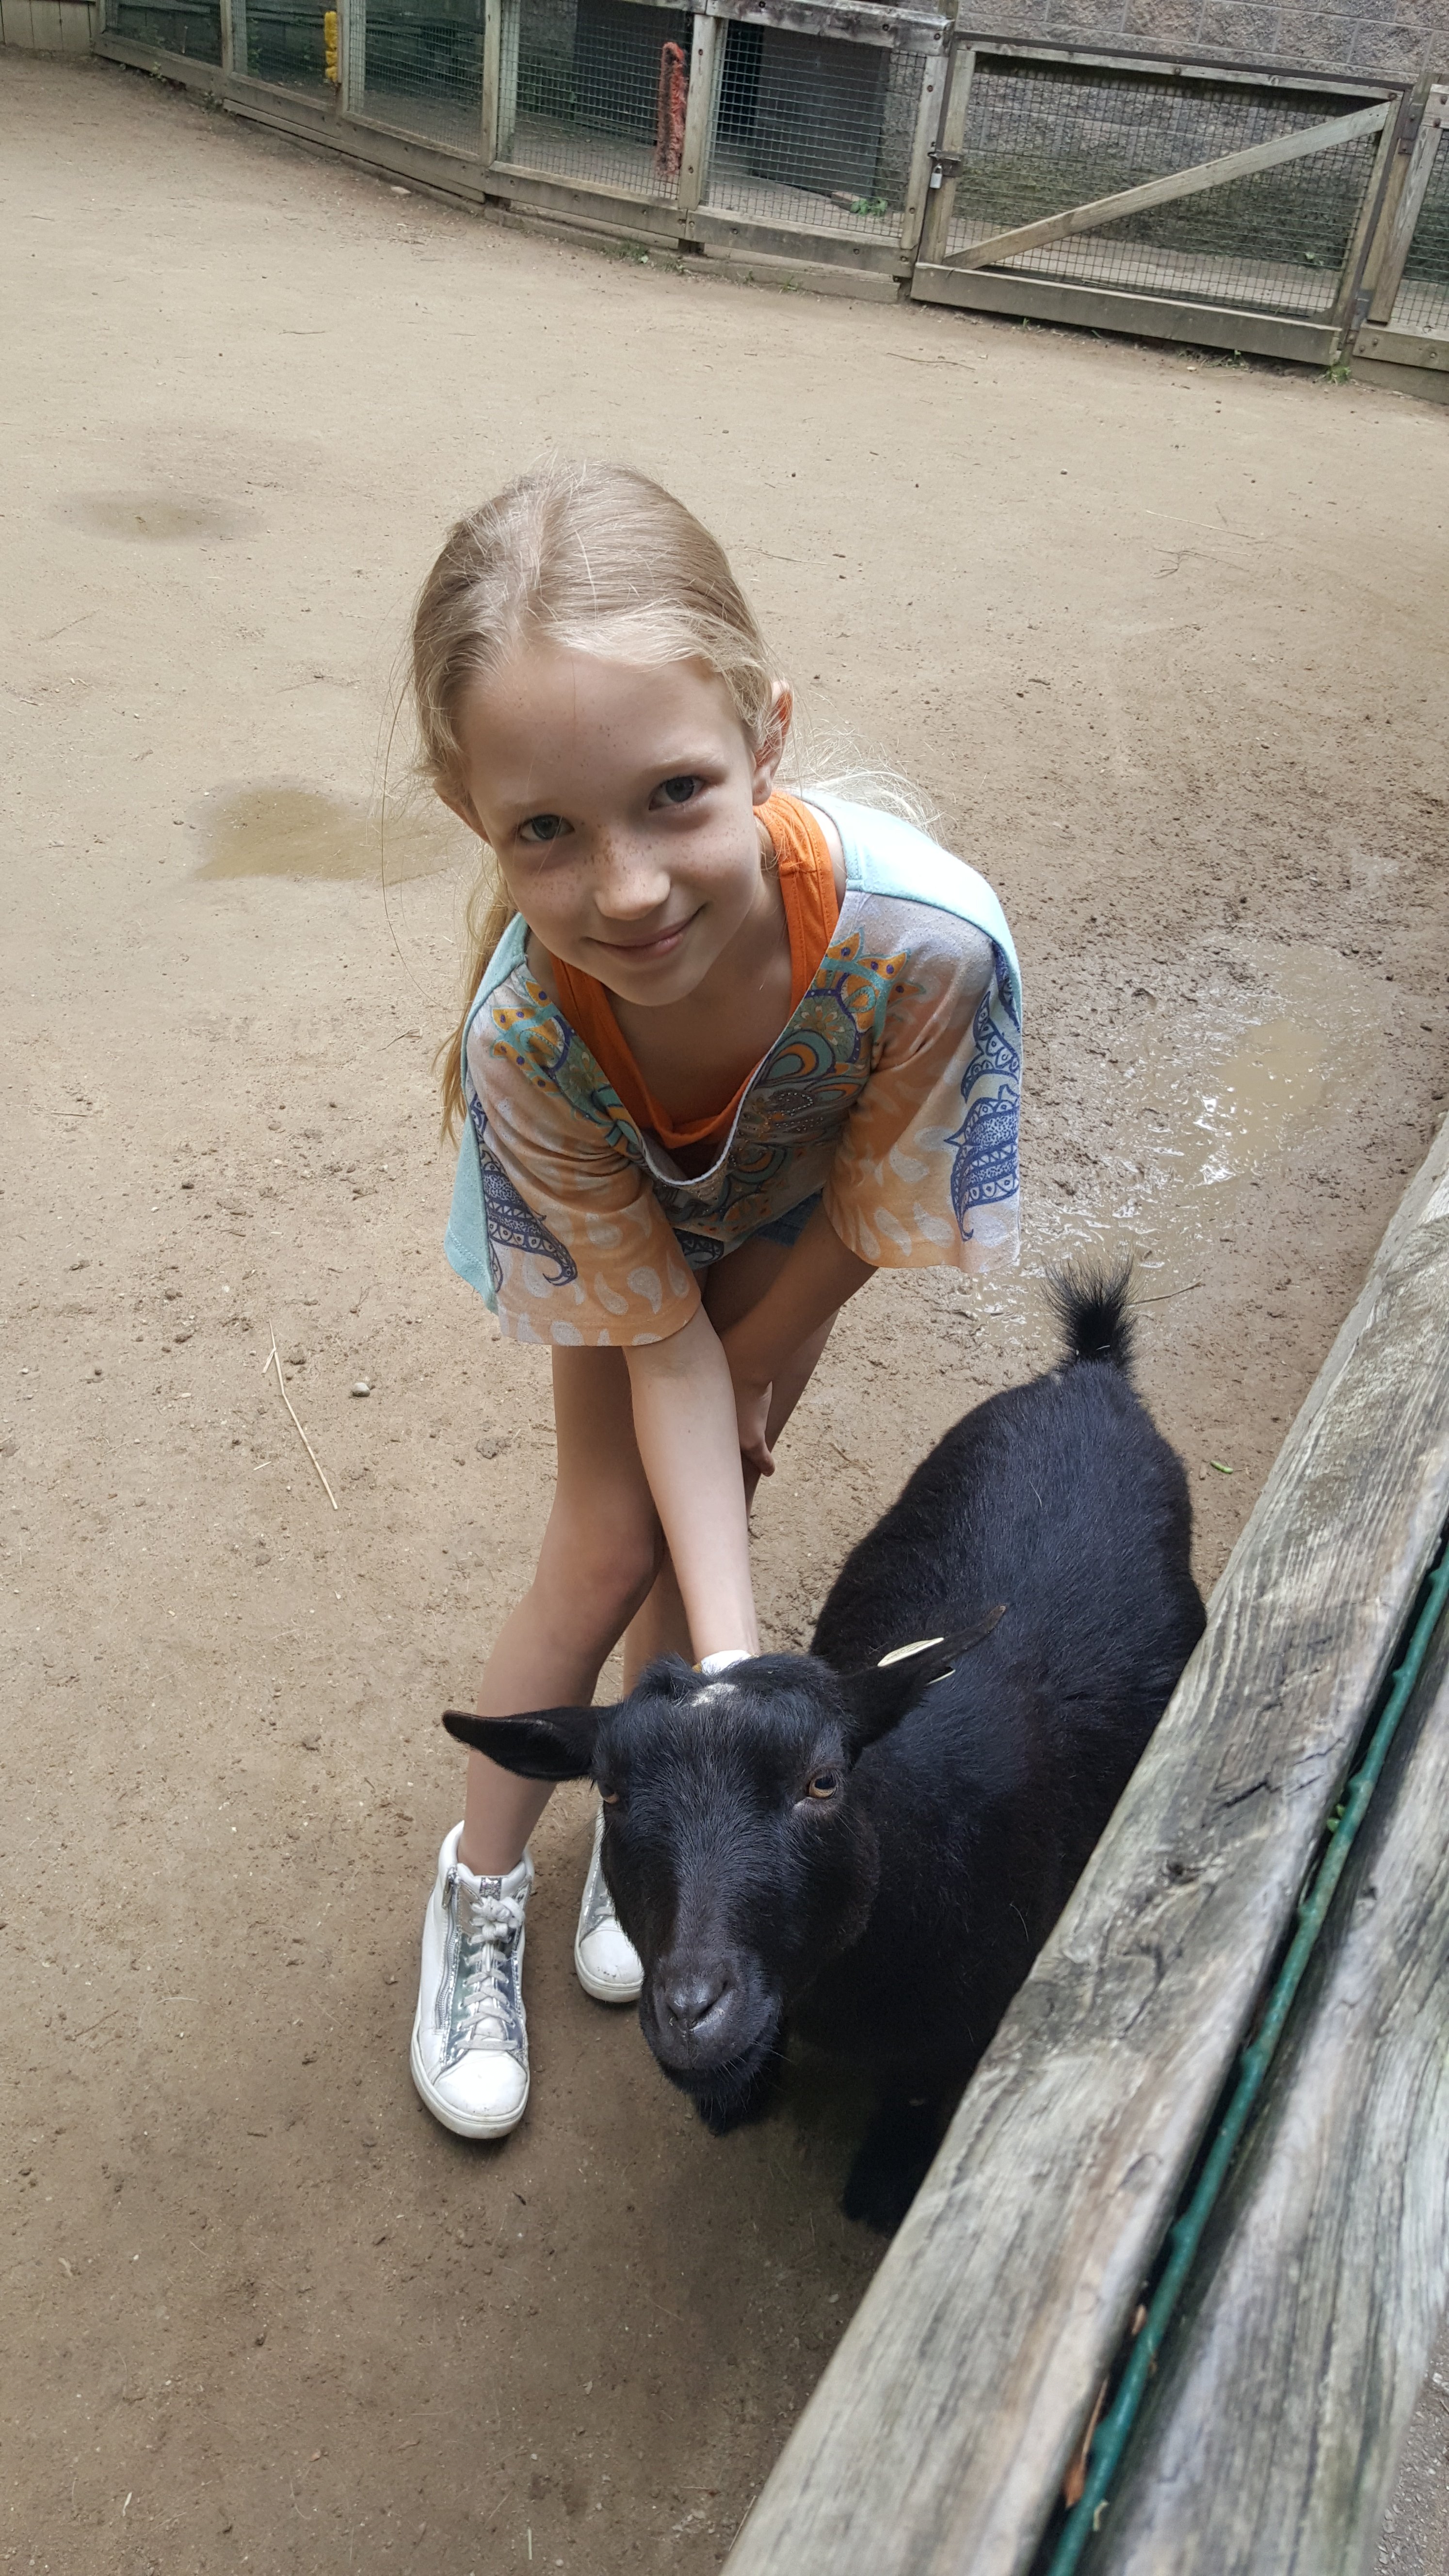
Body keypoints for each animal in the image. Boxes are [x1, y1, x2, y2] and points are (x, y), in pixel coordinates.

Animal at [445, 1266, 1206, 2230]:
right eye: (610, 1793)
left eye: (823, 1782)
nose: (690, 2011)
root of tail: (1094, 1376)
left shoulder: (967, 2026)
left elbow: (918, 2093)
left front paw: (885, 2182)